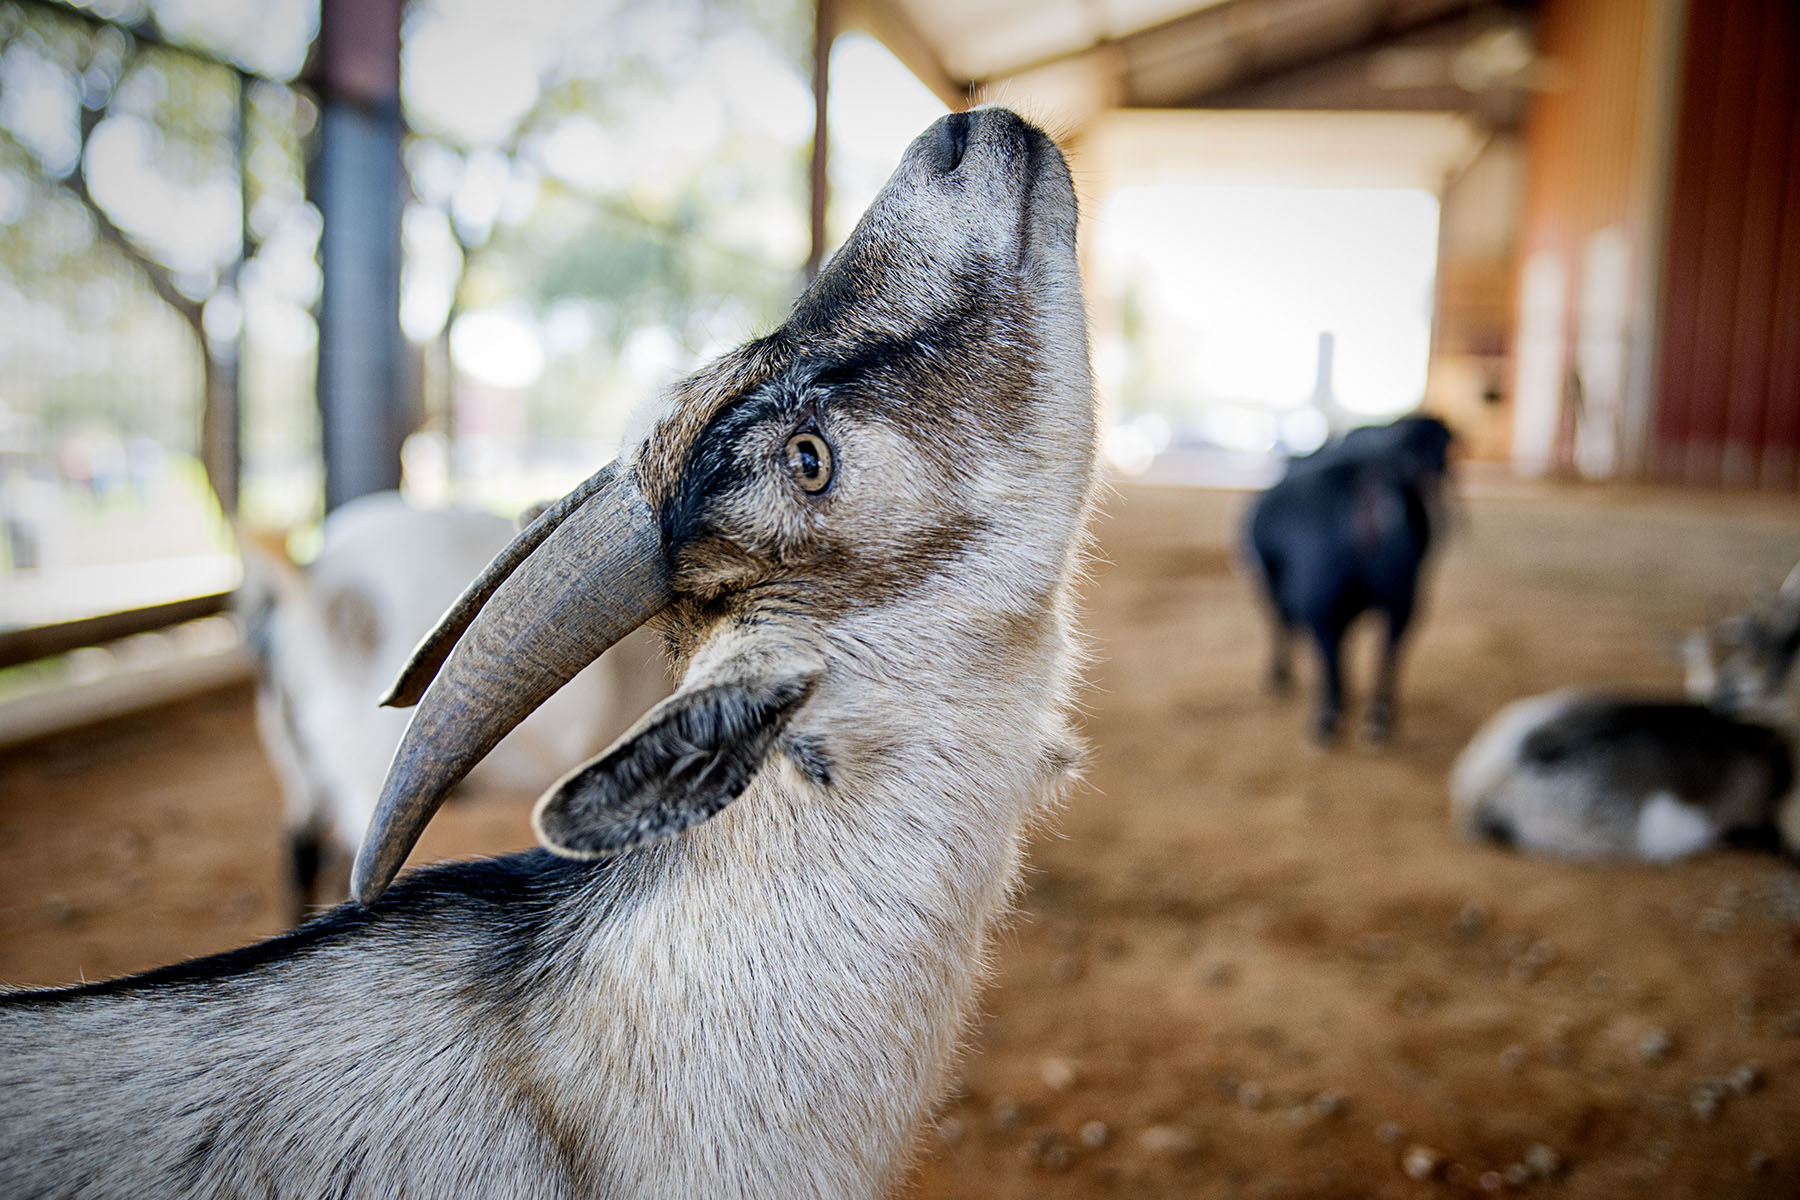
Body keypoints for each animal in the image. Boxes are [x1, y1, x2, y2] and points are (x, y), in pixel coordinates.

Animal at [1245, 413, 1454, 741]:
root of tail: (1368, 480)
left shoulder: (1274, 585)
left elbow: (1282, 626)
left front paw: (1278, 677)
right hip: (1402, 597)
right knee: (1388, 653)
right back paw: (1378, 719)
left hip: (1320, 600)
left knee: (1328, 654)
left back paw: (1326, 721)